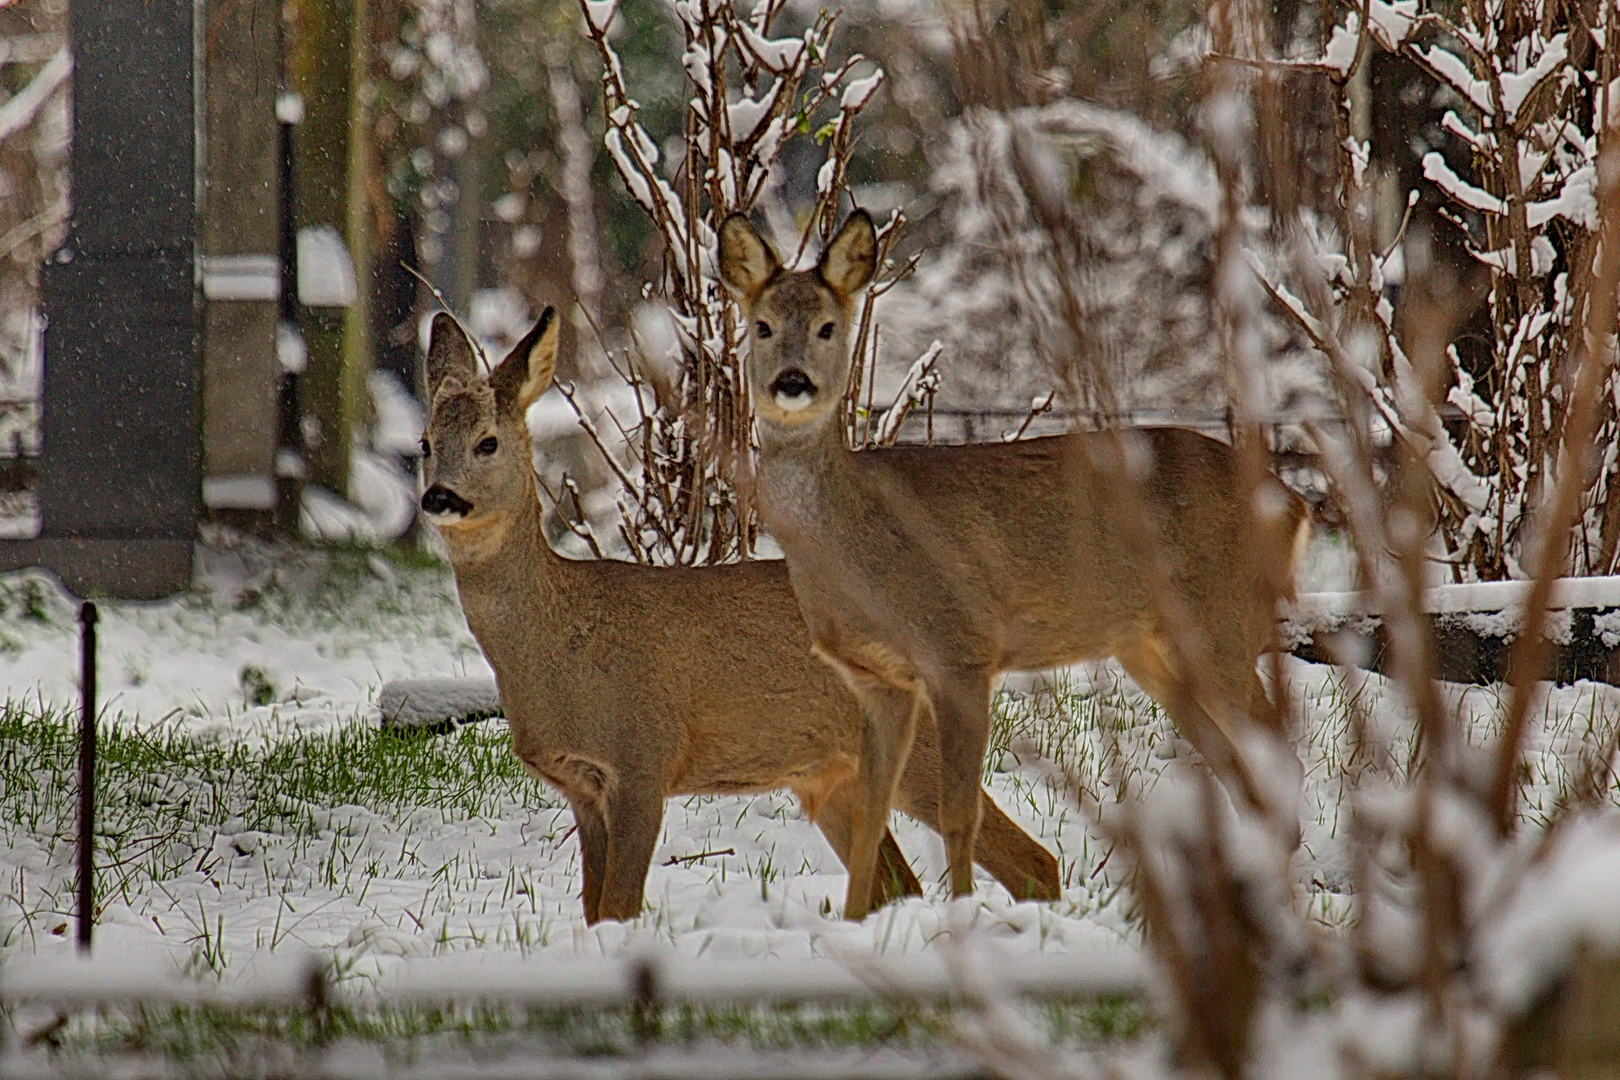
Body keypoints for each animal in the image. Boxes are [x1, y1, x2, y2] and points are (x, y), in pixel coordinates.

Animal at [414, 307, 1062, 926]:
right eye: (424, 442)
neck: (558, 640)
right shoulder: (581, 787)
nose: (438, 498)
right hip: (832, 776)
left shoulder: (644, 756)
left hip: (918, 748)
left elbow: (620, 906)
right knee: (900, 882)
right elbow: (595, 913)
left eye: (488, 442)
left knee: (1033, 859)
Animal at [722, 210, 1315, 919]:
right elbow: (871, 814)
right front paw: (857, 920)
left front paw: (960, 917)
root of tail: (1295, 504)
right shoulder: (875, 678)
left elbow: (959, 813)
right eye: (760, 326)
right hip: (1151, 646)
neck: (855, 546)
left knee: (1278, 757)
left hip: (1222, 618)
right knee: (1241, 764)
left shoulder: (959, 648)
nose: (792, 382)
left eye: (827, 327)